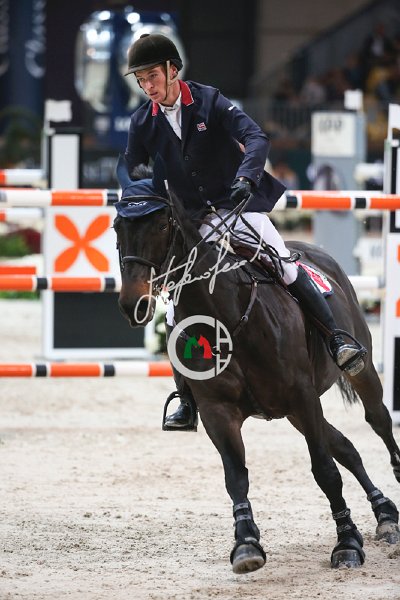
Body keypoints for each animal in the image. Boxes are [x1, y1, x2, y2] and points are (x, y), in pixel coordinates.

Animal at [113, 177, 400, 574]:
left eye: (160, 225)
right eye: (117, 228)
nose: (133, 303)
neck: (225, 318)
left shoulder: (302, 395)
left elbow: (324, 471)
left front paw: (346, 544)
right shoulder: (218, 411)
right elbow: (236, 477)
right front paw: (246, 543)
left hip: (355, 373)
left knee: (378, 420)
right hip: (296, 413)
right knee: (346, 446)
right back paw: (384, 513)